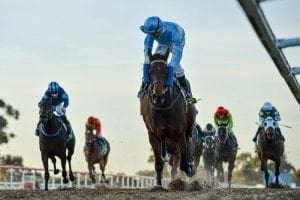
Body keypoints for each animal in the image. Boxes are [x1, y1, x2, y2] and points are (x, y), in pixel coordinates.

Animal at [140, 52, 197, 186]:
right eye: (150, 71)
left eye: (166, 71)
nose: (158, 96)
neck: (163, 108)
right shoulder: (153, 135)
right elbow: (158, 163)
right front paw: (158, 185)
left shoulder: (179, 133)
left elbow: (183, 163)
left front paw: (188, 171)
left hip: (186, 130)